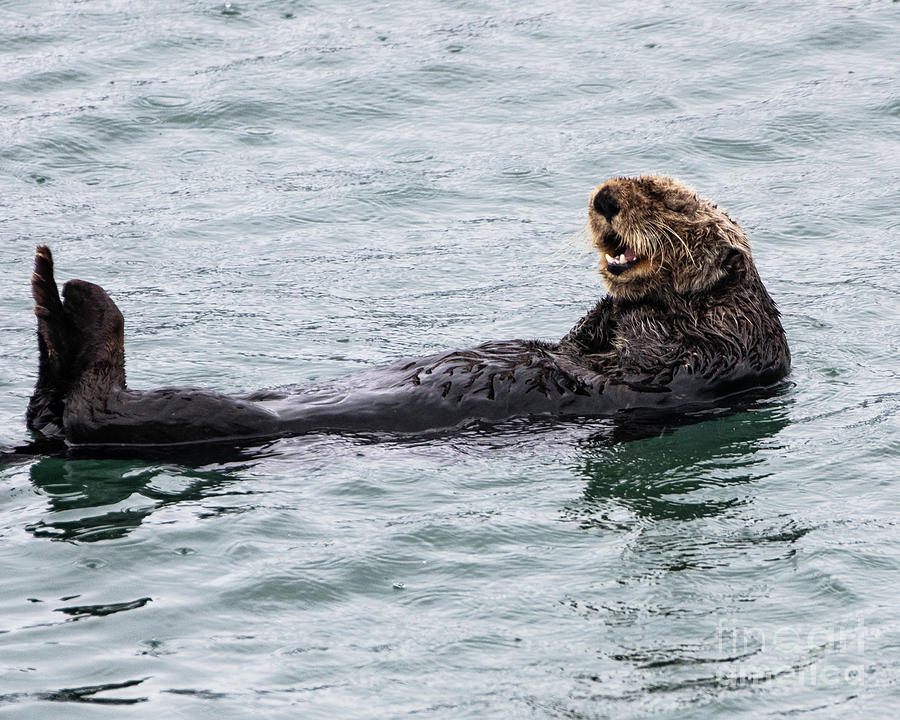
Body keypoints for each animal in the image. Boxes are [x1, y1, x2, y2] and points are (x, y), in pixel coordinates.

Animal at [24, 174, 792, 448]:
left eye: (661, 195)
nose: (605, 198)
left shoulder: (711, 352)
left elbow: (642, 358)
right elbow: (579, 337)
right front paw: (598, 306)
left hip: (198, 422)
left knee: (95, 409)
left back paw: (78, 302)